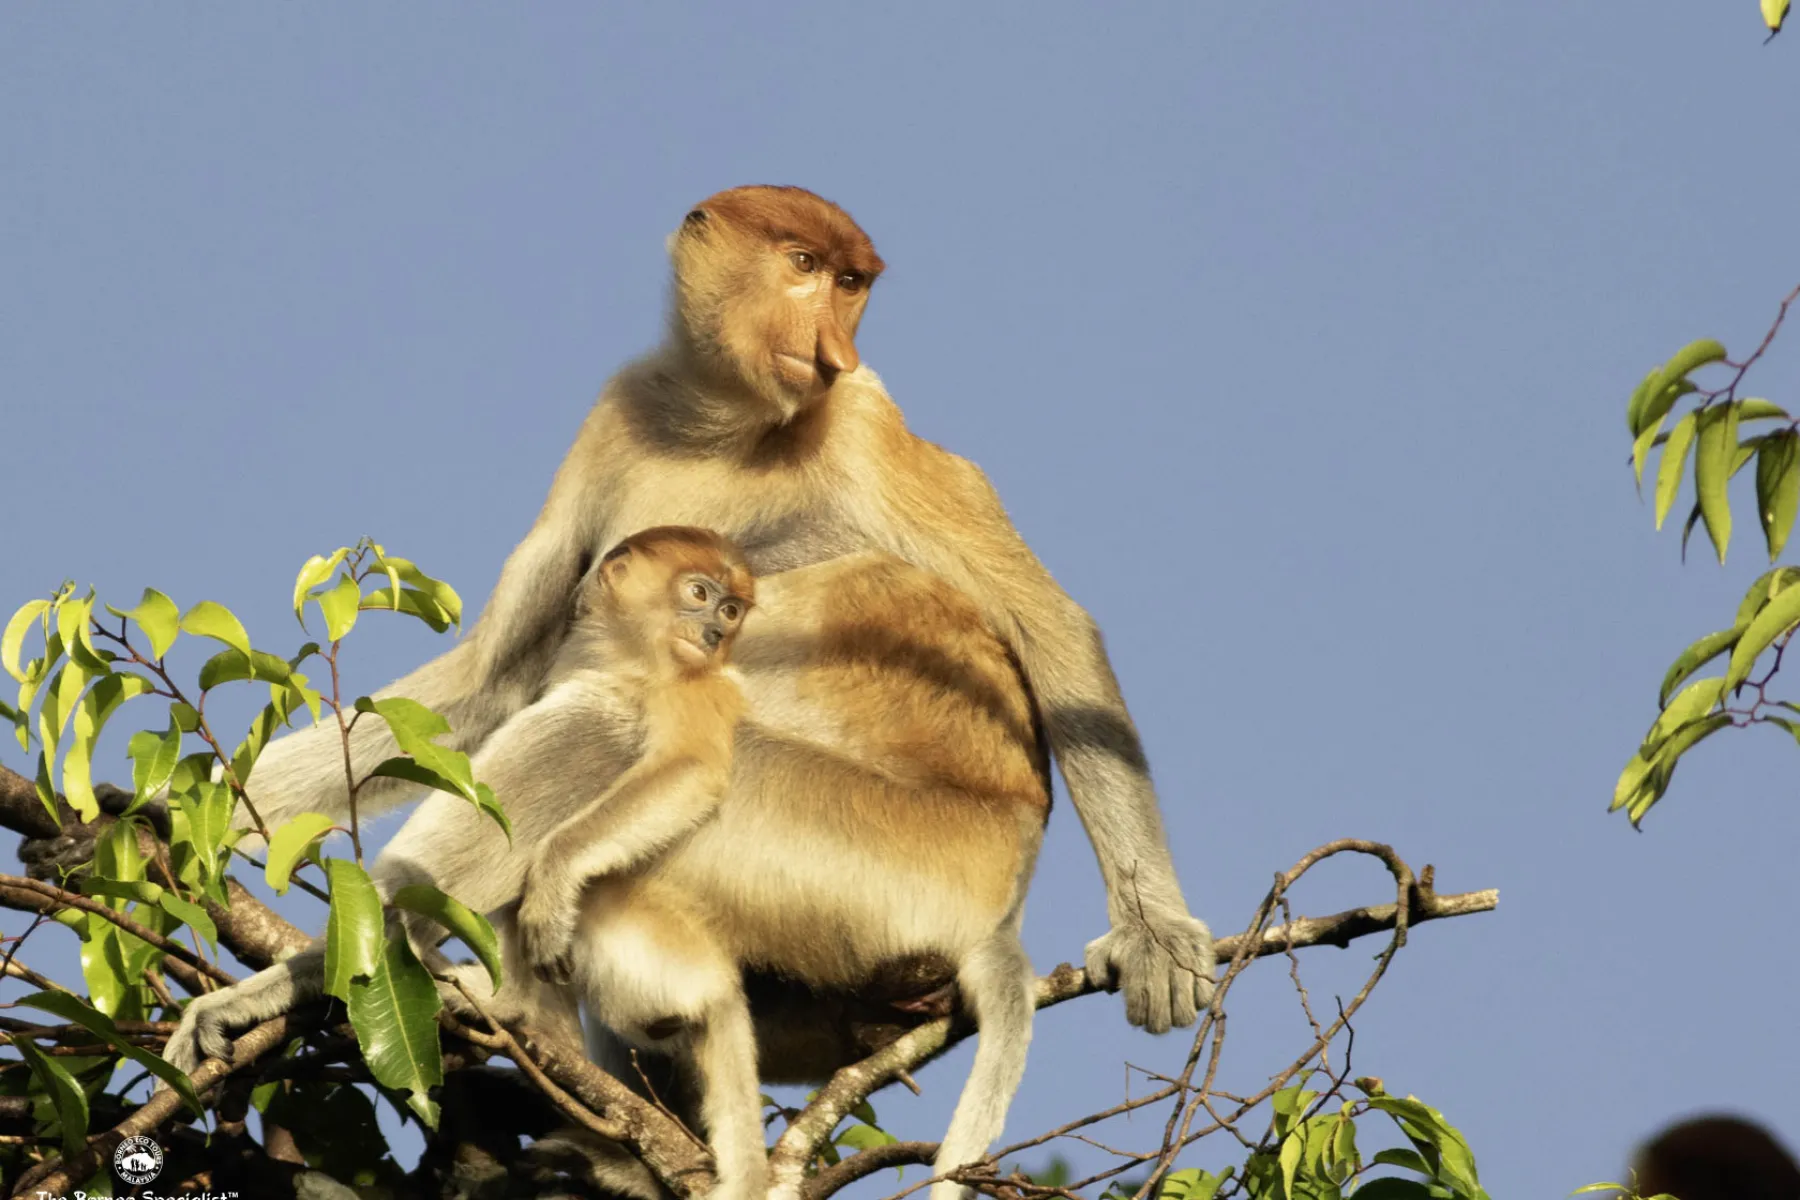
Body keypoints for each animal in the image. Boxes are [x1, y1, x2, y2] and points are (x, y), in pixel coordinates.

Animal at [170, 531, 1051, 1200]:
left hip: (867, 853)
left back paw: (506, 1005)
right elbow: (478, 701)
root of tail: (1003, 900)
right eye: (700, 595)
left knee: (597, 732)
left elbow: (672, 760)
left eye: (727, 608)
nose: (716, 631)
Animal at [211, 184, 1213, 1036]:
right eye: (804, 265)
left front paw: (1157, 939)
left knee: (610, 725)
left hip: (883, 858)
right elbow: (492, 683)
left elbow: (1048, 624)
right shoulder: (617, 411)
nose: (834, 348)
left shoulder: (863, 421)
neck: (723, 425)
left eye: (852, 283)